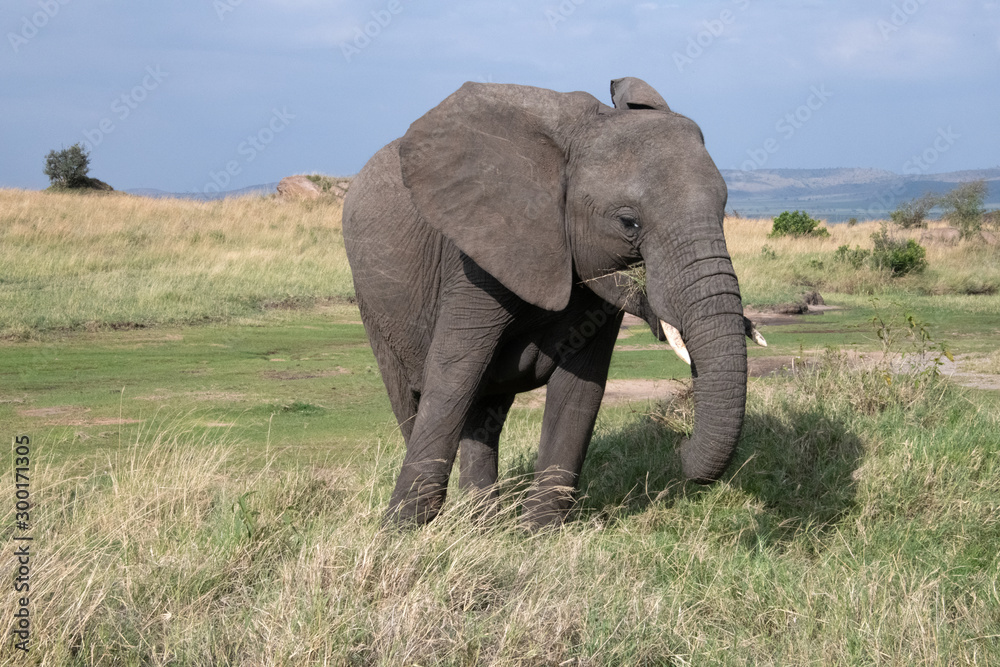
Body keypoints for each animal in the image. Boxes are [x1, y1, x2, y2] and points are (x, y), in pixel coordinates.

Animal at [342, 77, 765, 529]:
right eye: (628, 222)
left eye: (724, 210)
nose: (680, 449)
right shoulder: (476, 257)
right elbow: (452, 375)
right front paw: (401, 530)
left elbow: (580, 389)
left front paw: (539, 533)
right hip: (372, 302)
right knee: (414, 398)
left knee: (485, 410)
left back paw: (484, 522)